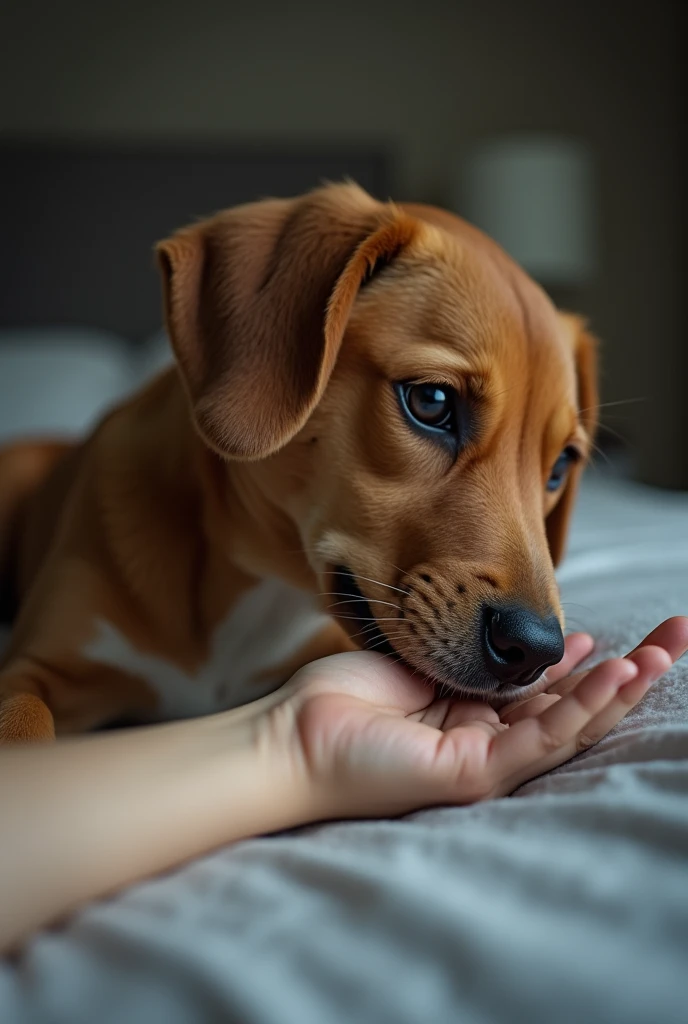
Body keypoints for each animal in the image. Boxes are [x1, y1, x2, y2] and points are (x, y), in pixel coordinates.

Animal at [0, 184, 593, 741]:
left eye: (560, 466)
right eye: (432, 401)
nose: (537, 650)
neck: (257, 585)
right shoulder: (33, 671)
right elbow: (24, 724)